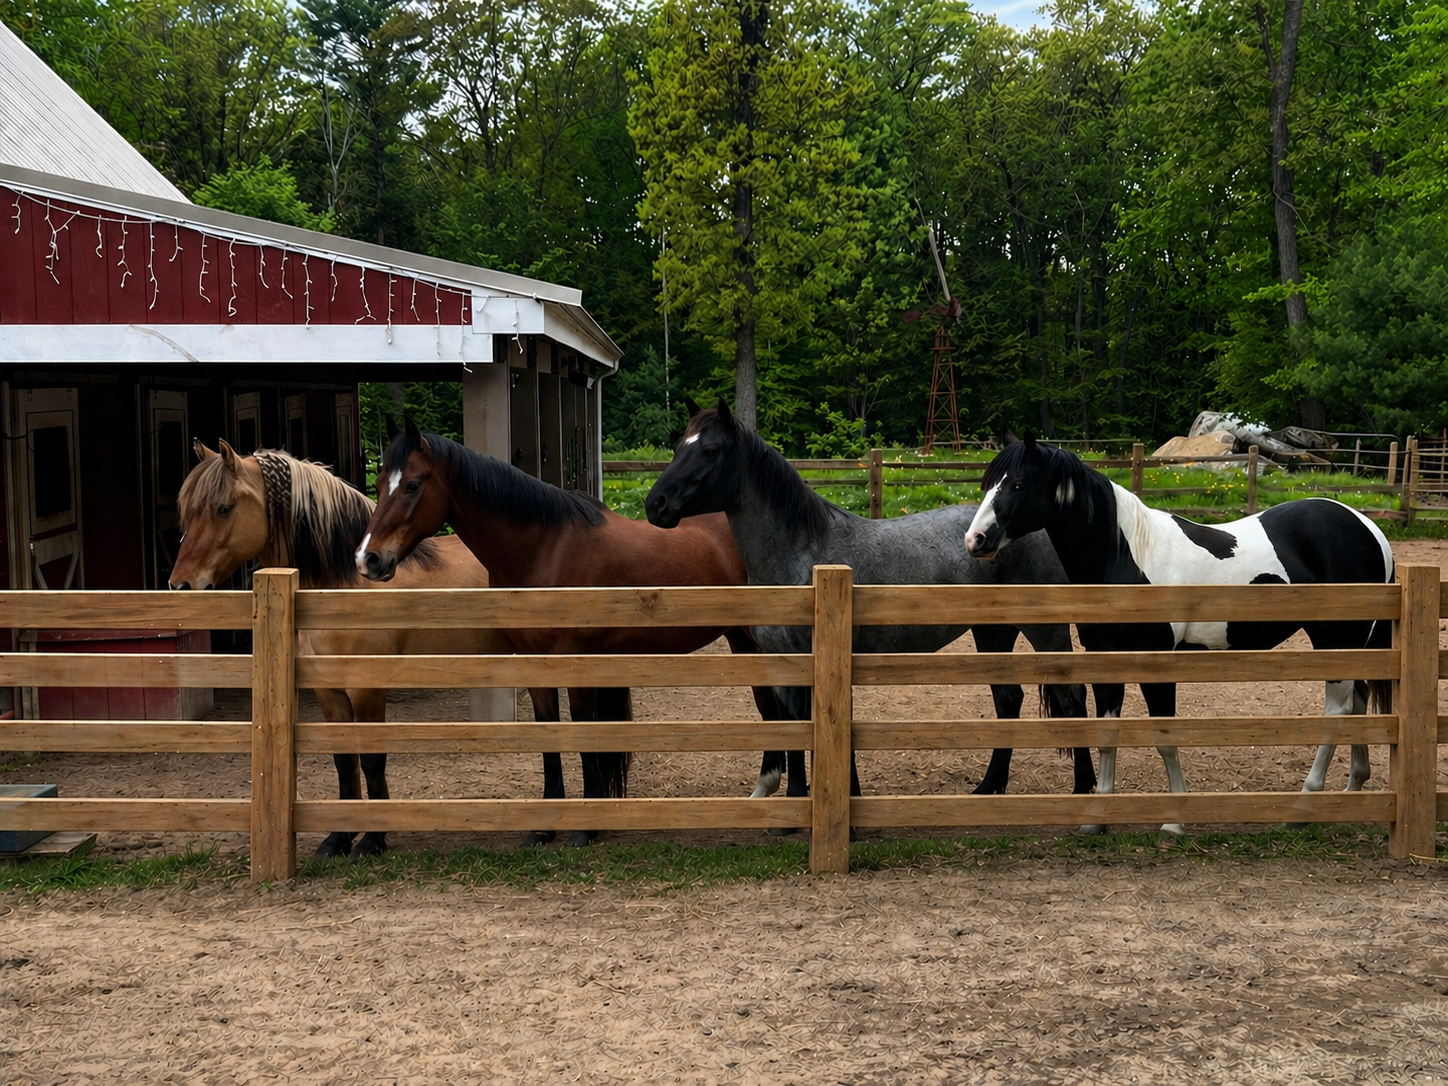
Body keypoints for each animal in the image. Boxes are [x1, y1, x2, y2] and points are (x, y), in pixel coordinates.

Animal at [171, 439, 552, 857]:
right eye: (188, 511)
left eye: (223, 508)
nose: (181, 584)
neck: (345, 582)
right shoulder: (328, 689)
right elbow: (343, 760)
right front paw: (338, 838)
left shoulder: (366, 686)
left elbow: (370, 757)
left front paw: (373, 838)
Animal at [352, 417, 783, 846]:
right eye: (379, 482)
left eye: (412, 484)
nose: (368, 559)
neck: (546, 549)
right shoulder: (534, 663)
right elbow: (549, 732)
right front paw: (545, 825)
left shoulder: (577, 661)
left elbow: (581, 729)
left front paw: (586, 826)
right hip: (741, 638)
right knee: (769, 705)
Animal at [643, 399, 1094, 807]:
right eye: (679, 446)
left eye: (709, 451)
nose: (655, 505)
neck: (802, 553)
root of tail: (1027, 530)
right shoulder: (782, 666)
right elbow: (793, 731)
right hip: (992, 633)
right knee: (1008, 700)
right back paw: (988, 788)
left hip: (1045, 631)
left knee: (1071, 697)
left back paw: (1084, 790)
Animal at [962, 431, 1395, 837]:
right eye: (991, 483)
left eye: (1019, 484)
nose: (975, 540)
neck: (1127, 555)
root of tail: (1370, 529)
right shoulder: (1106, 658)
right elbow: (1107, 733)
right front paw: (1097, 820)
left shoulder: (1158, 663)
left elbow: (1165, 737)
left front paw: (1173, 821)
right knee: (1358, 704)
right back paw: (1350, 793)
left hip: (1336, 639)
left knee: (1338, 713)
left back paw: (1304, 807)